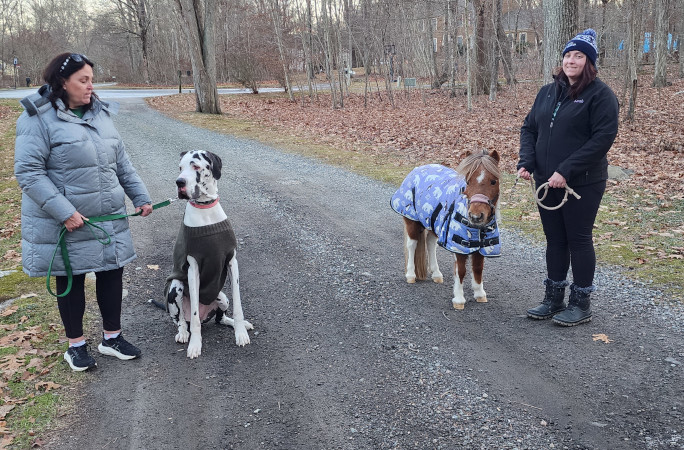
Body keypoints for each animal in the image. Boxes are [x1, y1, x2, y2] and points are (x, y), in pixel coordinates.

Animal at [390, 150, 501, 310]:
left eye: (493, 181)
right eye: (468, 181)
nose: (476, 216)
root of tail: (417, 169)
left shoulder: (481, 247)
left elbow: (478, 268)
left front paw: (480, 294)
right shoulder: (458, 247)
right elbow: (461, 271)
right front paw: (459, 299)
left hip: (433, 224)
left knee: (430, 243)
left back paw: (436, 274)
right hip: (412, 221)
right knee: (412, 245)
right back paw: (410, 275)